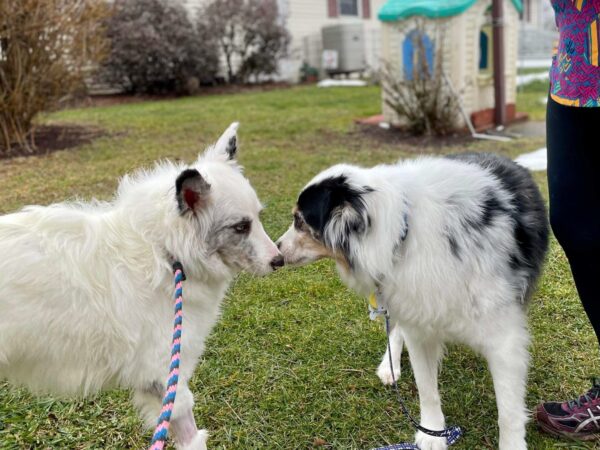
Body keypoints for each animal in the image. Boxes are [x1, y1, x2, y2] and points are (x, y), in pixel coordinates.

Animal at [0, 123, 282, 450]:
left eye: (258, 218)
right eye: (240, 227)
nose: (279, 260)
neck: (166, 253)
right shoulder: (163, 376)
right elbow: (190, 436)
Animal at [276, 153, 548, 448]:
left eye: (300, 221)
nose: (276, 251)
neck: (402, 230)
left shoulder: (504, 340)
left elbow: (508, 412)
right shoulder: (418, 322)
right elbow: (426, 389)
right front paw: (431, 434)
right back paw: (390, 366)